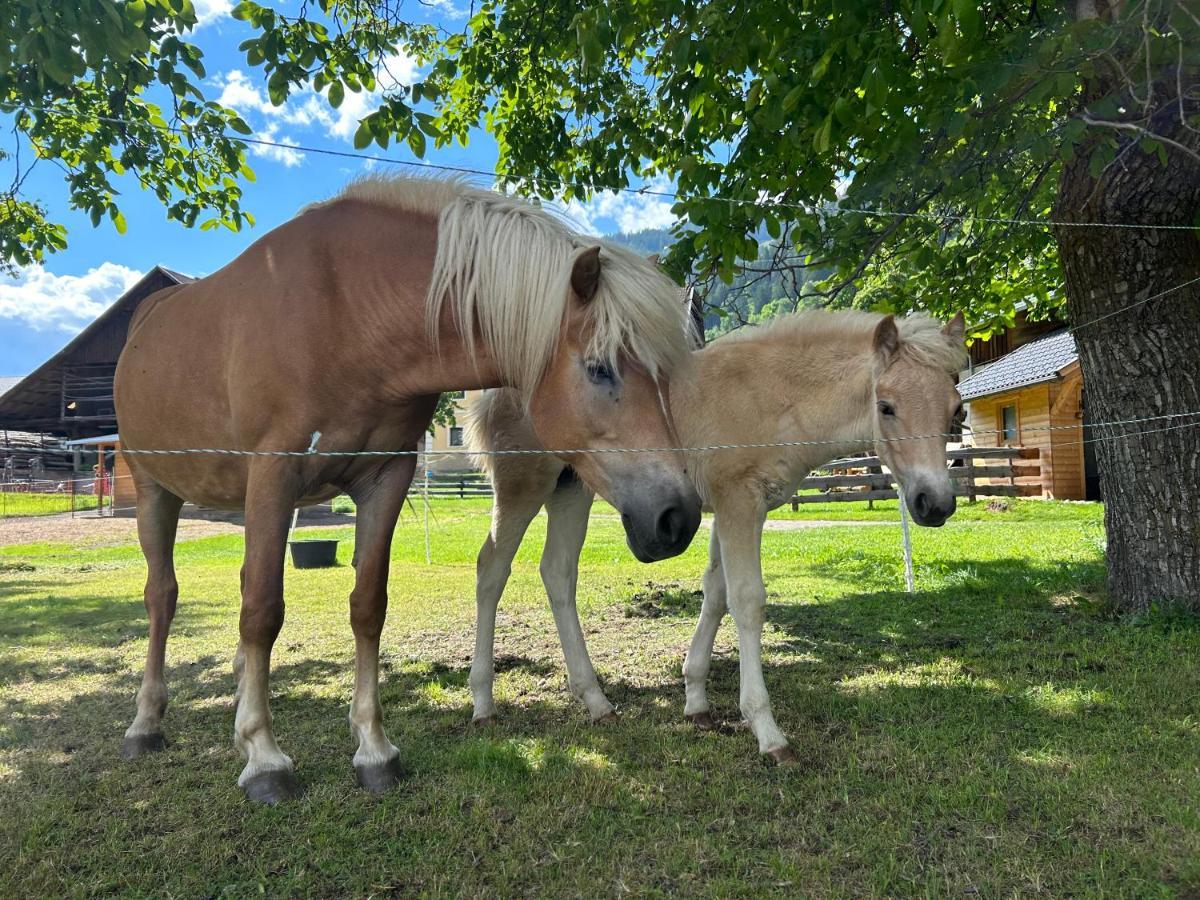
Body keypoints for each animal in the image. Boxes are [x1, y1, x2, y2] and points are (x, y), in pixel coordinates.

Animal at [113, 176, 700, 801]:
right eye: (599, 367)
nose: (678, 516)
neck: (345, 313)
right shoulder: (273, 473)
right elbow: (263, 612)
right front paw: (266, 759)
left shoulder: (385, 477)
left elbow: (367, 605)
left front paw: (373, 750)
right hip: (156, 492)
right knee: (163, 596)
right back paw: (146, 723)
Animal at [463, 309, 969, 763]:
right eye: (887, 407)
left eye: (956, 411)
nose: (935, 503)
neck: (773, 397)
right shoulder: (736, 503)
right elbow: (747, 600)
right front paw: (767, 732)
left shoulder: (744, 509)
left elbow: (716, 593)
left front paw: (697, 702)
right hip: (523, 486)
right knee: (492, 569)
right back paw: (483, 704)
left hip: (572, 491)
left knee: (558, 573)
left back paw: (596, 701)